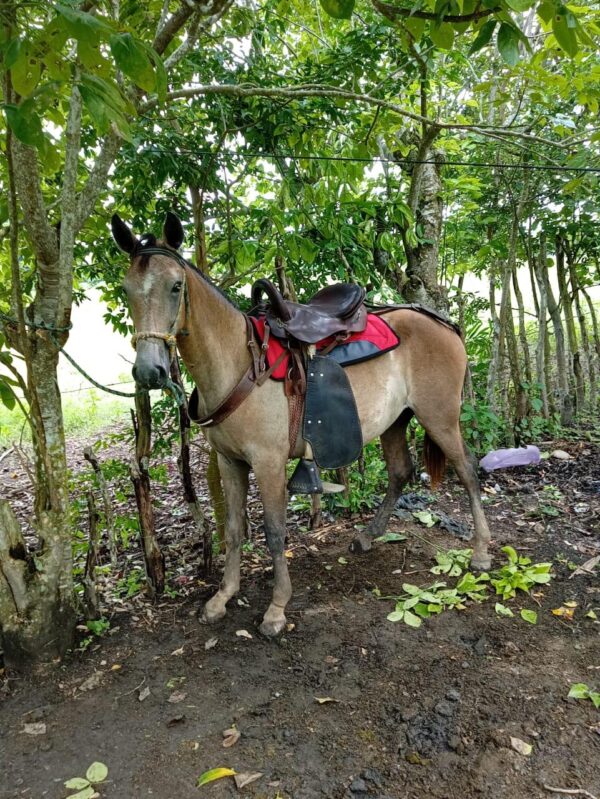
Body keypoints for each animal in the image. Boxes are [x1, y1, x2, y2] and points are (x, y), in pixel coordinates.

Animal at [112, 212, 492, 637]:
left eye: (176, 286)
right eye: (126, 289)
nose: (150, 371)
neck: (239, 363)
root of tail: (442, 322)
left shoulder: (268, 462)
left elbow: (275, 532)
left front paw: (276, 608)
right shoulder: (229, 462)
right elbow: (233, 529)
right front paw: (223, 597)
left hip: (440, 417)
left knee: (467, 471)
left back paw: (480, 552)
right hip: (396, 420)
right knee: (400, 472)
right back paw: (366, 537)